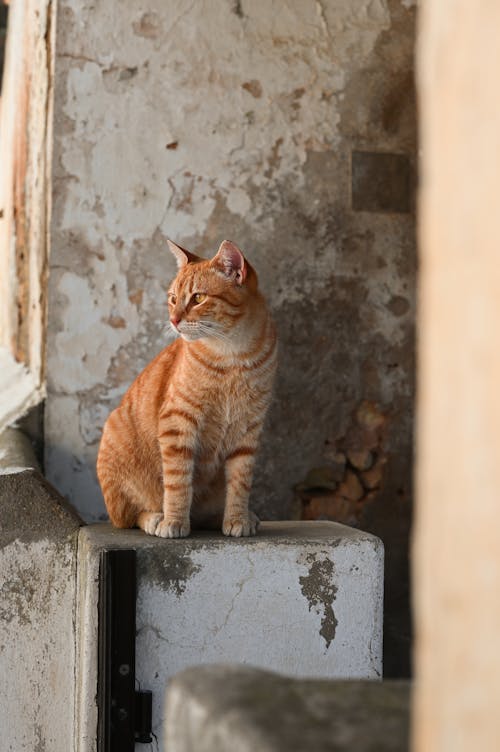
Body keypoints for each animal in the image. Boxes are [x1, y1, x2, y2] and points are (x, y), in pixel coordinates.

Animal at [97, 238, 278, 536]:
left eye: (198, 298)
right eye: (172, 298)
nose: (173, 319)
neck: (233, 356)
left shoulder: (248, 429)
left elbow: (240, 482)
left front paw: (237, 518)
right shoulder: (178, 423)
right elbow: (178, 482)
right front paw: (174, 521)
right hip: (116, 450)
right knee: (129, 517)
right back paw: (155, 518)